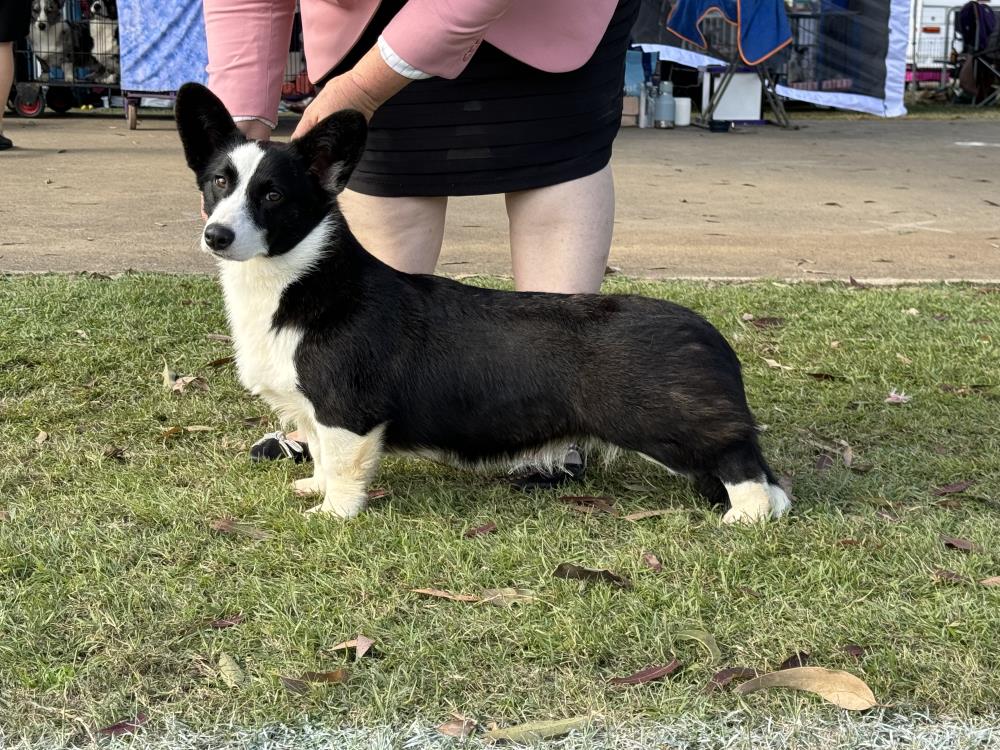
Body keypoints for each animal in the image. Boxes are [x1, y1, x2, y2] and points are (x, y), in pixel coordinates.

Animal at [174, 83, 791, 524]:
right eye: (218, 183)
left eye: (273, 195)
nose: (216, 236)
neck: (293, 280)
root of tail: (707, 334)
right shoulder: (315, 412)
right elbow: (323, 457)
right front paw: (314, 488)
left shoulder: (347, 409)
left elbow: (345, 465)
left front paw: (332, 514)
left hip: (665, 425)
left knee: (740, 461)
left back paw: (744, 519)